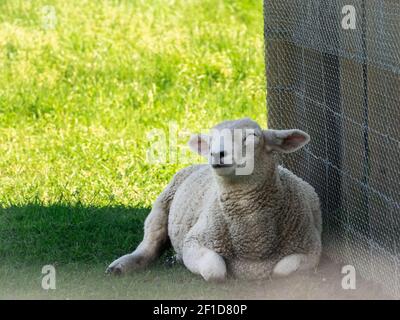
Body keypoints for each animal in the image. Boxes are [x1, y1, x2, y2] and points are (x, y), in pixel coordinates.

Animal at [106, 118, 322, 282]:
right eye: (211, 141)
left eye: (252, 137)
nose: (216, 154)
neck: (253, 243)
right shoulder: (194, 241)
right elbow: (215, 270)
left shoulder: (312, 249)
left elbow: (281, 271)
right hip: (161, 205)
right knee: (149, 244)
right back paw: (121, 266)